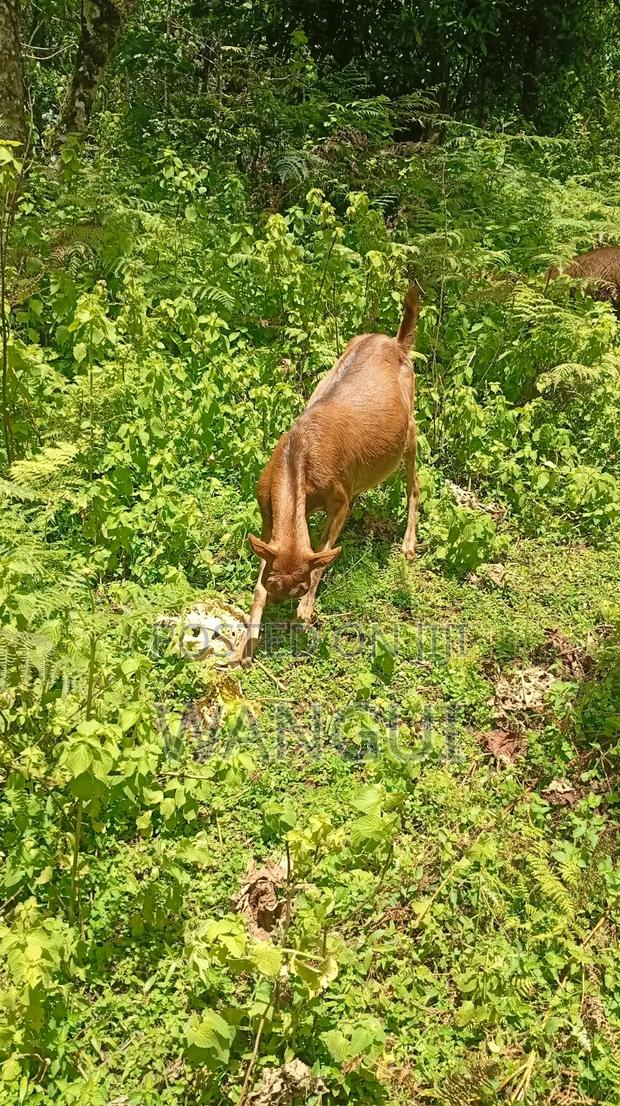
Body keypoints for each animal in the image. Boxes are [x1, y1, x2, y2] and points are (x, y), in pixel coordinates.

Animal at [232, 286, 421, 665]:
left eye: (300, 586)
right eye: (274, 584)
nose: (284, 605)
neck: (298, 464)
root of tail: (397, 343)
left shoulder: (338, 498)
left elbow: (322, 554)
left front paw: (304, 614)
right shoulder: (266, 511)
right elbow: (260, 576)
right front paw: (246, 646)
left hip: (409, 429)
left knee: (414, 482)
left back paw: (408, 544)